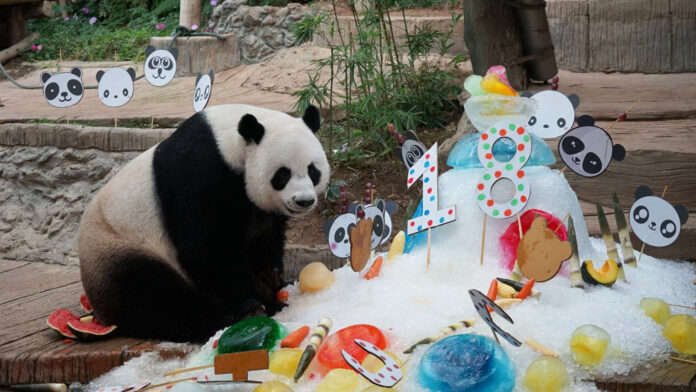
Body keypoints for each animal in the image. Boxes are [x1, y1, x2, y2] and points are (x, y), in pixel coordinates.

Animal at [80, 105, 330, 342]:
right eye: (282, 175)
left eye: (313, 170)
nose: (304, 201)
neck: (231, 144)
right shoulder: (200, 176)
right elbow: (206, 251)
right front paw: (264, 299)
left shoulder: (258, 208)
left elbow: (265, 239)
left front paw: (272, 279)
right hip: (120, 246)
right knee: (154, 297)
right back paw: (235, 315)